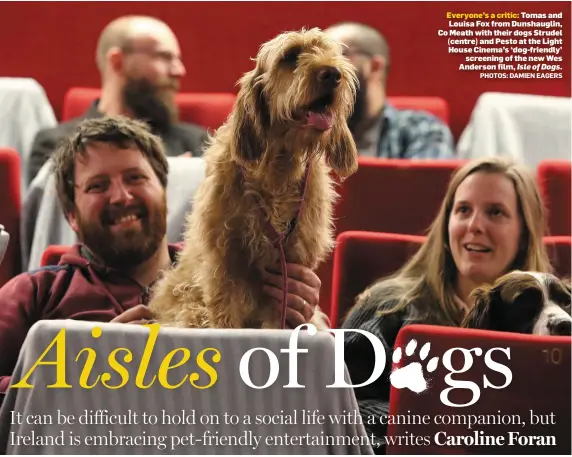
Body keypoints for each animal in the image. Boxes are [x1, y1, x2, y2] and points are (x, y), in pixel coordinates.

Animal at [147, 28, 358, 328]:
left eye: (333, 53)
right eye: (290, 56)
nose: (332, 74)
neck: (279, 167)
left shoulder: (291, 268)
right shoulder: (225, 262)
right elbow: (224, 315)